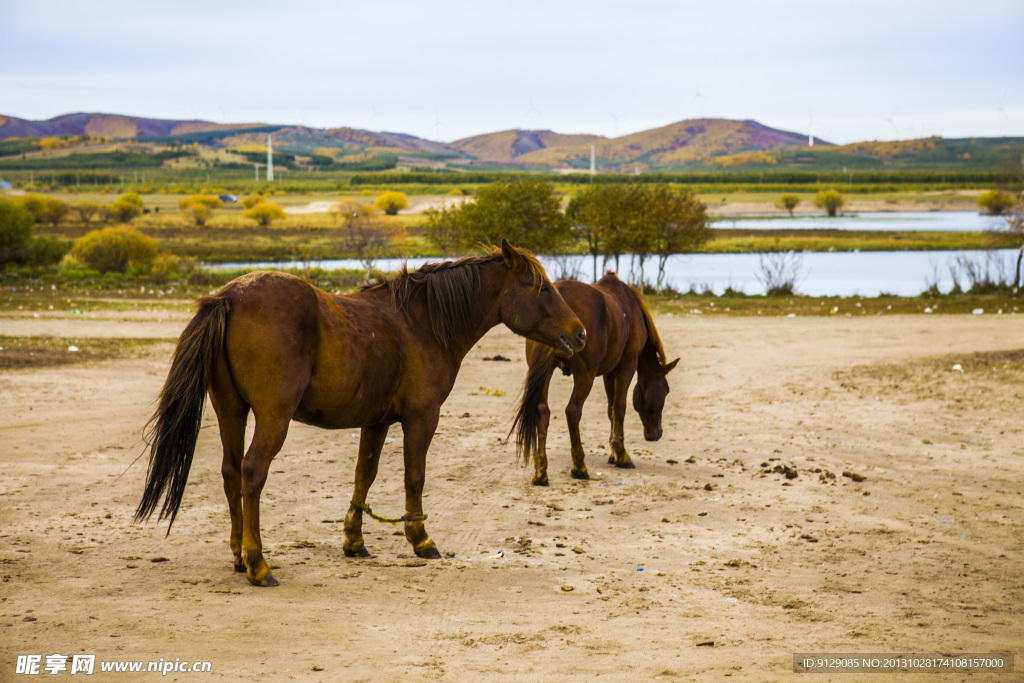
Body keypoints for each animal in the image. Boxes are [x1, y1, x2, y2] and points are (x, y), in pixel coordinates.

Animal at [135, 241, 585, 589]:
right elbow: (414, 476)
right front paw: (420, 539)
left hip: (232, 411)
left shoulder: (376, 421)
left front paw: (353, 540)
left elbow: (363, 475)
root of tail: (230, 296)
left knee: (231, 473)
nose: (579, 333)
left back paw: (237, 555)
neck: (421, 322)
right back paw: (257, 563)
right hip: (272, 418)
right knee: (251, 472)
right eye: (541, 287)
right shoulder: (422, 418)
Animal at [512, 272, 679, 485]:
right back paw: (579, 466)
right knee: (573, 412)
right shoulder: (627, 365)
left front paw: (613, 452)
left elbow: (610, 410)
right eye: (666, 391)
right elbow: (619, 408)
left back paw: (541, 471)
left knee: (543, 411)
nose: (656, 433)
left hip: (544, 372)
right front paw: (621, 455)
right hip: (585, 375)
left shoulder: (609, 372)